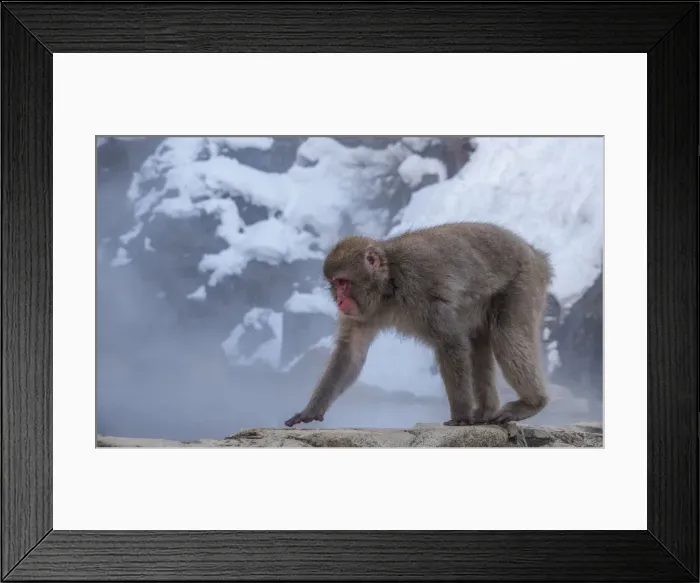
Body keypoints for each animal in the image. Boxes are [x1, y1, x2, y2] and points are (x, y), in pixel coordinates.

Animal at [284, 221, 553, 428]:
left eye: (343, 282)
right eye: (334, 284)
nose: (339, 301)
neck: (388, 284)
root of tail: (536, 254)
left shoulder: (420, 289)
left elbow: (450, 343)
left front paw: (460, 416)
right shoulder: (363, 313)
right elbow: (350, 352)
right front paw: (310, 410)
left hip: (523, 282)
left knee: (506, 334)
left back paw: (532, 403)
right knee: (479, 343)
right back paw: (486, 411)